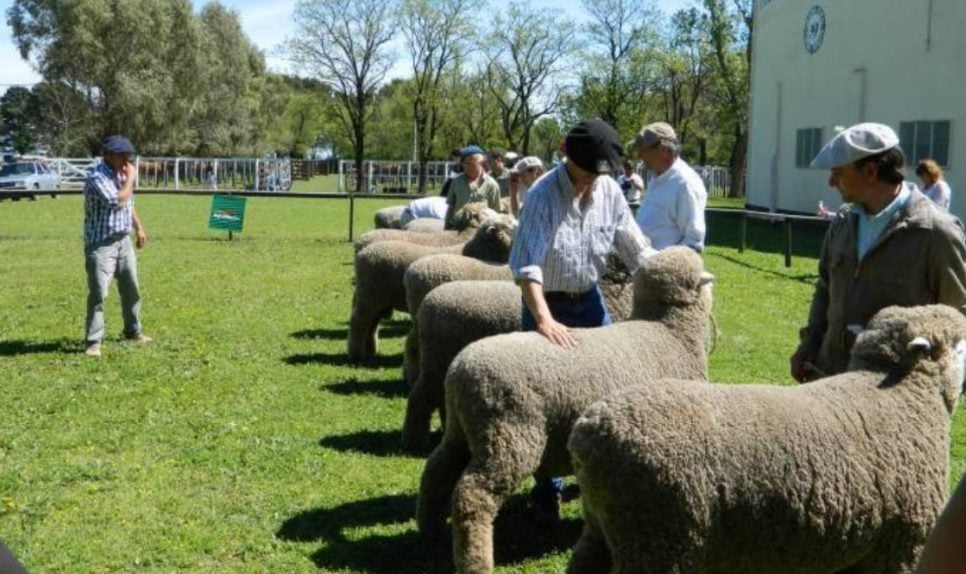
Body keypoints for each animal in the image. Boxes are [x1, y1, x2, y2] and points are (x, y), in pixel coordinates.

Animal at [346, 214, 516, 362]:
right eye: (510, 227)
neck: (477, 251)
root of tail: (362, 252)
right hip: (369, 294)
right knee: (359, 321)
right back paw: (356, 354)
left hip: (379, 299)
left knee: (372, 323)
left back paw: (370, 351)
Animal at [568, 304, 966, 572]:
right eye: (961, 344)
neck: (904, 395)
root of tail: (589, 430)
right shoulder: (904, 543)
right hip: (659, 538)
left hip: (606, 527)